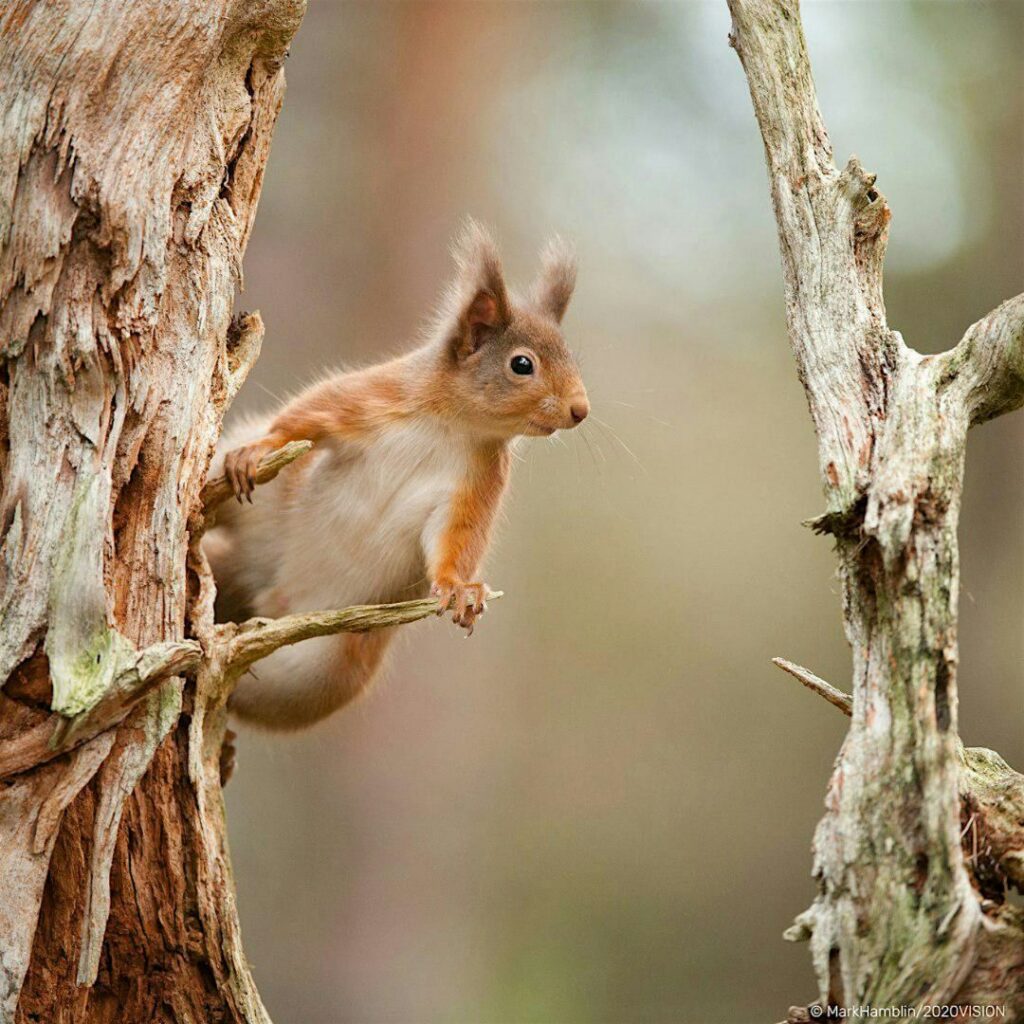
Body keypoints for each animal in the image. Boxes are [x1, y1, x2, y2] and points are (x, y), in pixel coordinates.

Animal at [203, 220, 589, 730]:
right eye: (522, 364)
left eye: (571, 355)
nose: (581, 410)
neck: (453, 424)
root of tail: (268, 592)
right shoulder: (370, 397)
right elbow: (307, 415)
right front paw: (257, 451)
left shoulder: (478, 484)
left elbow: (457, 539)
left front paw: (460, 590)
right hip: (266, 511)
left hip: (325, 672)